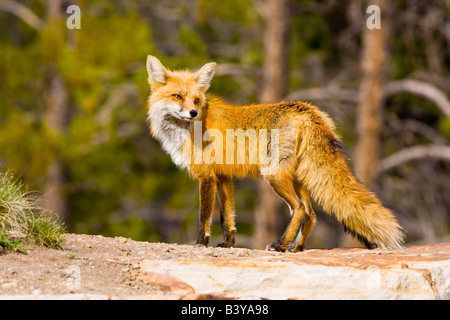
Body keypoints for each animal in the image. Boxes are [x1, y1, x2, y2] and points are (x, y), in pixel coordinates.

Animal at [147, 55, 404, 252]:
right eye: (177, 96)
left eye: (197, 99)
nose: (192, 112)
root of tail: (306, 110)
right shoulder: (224, 176)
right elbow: (228, 217)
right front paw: (227, 244)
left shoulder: (207, 176)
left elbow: (204, 218)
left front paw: (200, 244)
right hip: (298, 178)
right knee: (311, 214)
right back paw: (297, 248)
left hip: (274, 175)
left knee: (299, 209)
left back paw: (280, 245)